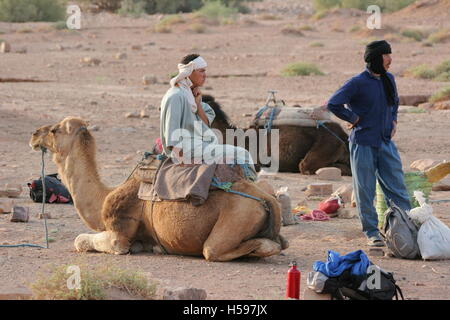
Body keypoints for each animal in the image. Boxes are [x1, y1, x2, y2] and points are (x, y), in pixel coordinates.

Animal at [29, 116, 288, 262]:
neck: (105, 195)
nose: (34, 134)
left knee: (216, 249)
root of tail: (266, 198)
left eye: (54, 130)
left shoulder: (118, 234)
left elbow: (81, 240)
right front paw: (152, 246)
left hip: (237, 217)